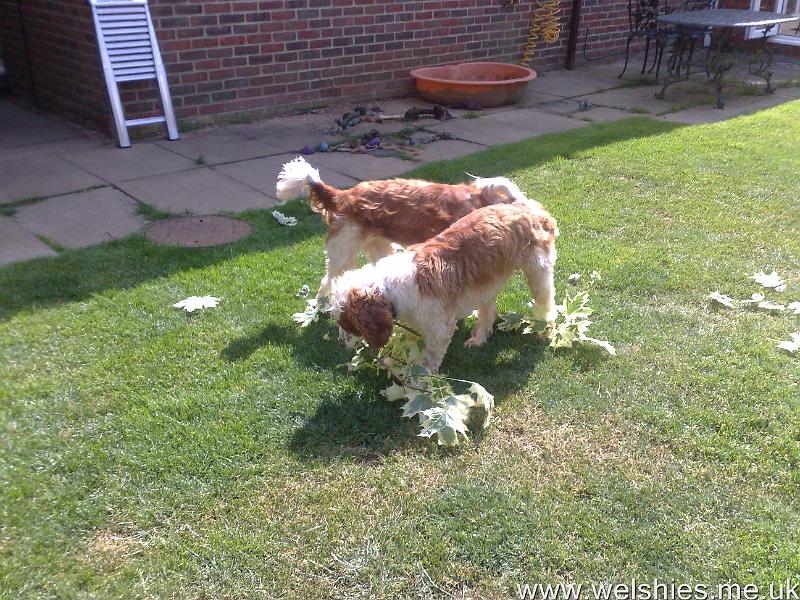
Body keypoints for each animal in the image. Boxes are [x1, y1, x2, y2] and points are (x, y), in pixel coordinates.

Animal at [328, 200, 560, 370]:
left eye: (348, 323)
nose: (339, 343)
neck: (389, 287)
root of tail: (530, 209)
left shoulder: (440, 330)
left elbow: (428, 362)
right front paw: (391, 363)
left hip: (538, 274)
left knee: (547, 302)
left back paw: (544, 327)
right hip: (486, 284)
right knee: (488, 311)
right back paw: (478, 338)